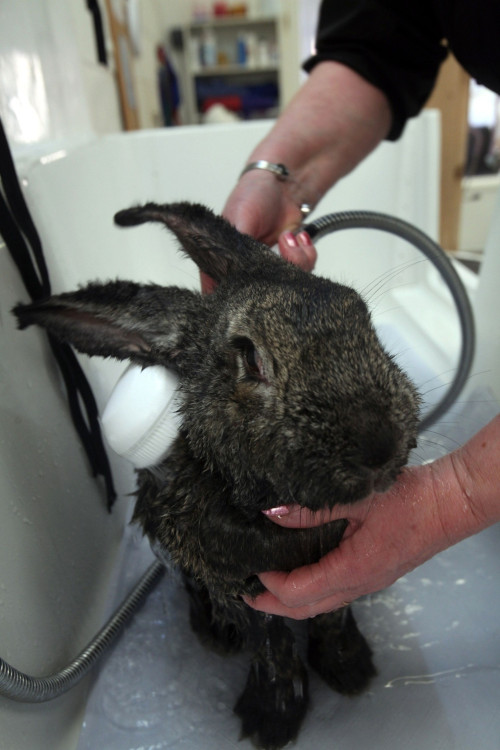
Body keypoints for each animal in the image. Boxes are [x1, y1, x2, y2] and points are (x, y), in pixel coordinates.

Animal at [13, 204, 420, 750]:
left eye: (359, 313)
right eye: (250, 356)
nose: (379, 445)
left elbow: (333, 616)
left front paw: (350, 670)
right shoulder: (245, 591)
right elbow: (272, 647)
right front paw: (272, 720)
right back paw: (216, 635)